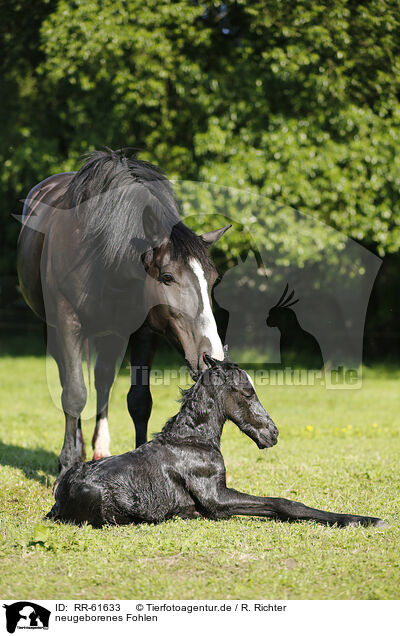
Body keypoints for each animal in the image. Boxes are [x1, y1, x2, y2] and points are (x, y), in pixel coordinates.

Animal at [46, 356, 384, 528]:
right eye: (248, 392)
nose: (273, 433)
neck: (193, 440)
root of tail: (59, 499)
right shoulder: (216, 498)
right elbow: (284, 503)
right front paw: (364, 520)